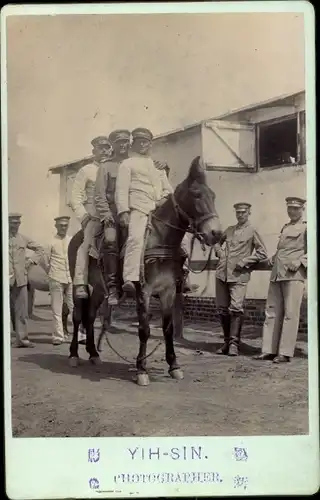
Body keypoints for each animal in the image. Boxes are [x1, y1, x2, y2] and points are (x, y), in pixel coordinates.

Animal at [67, 156, 222, 386]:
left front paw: (174, 366)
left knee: (90, 315)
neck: (161, 239)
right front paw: (141, 369)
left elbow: (168, 329)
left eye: (213, 195)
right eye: (196, 195)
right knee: (78, 316)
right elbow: (144, 329)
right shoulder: (144, 291)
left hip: (99, 289)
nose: (217, 233)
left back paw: (94, 353)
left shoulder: (168, 291)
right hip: (79, 284)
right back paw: (74, 355)